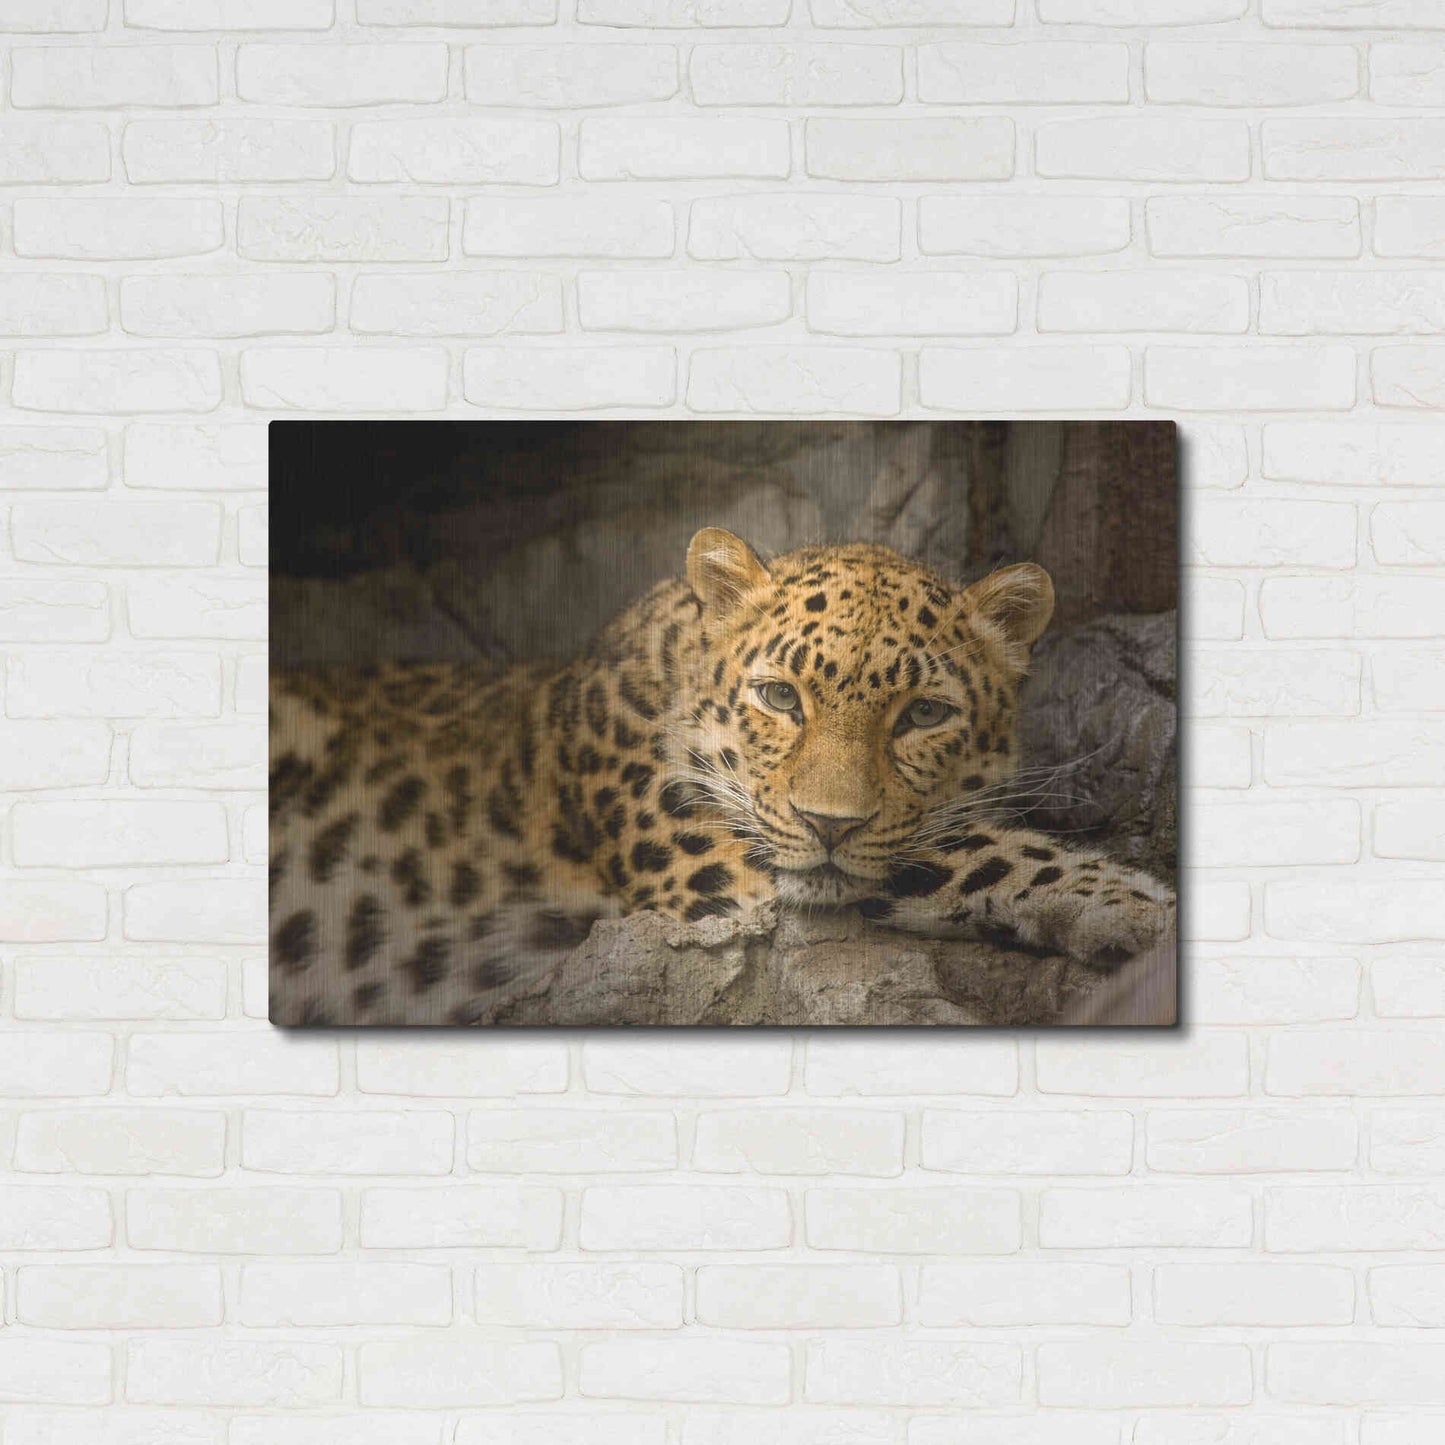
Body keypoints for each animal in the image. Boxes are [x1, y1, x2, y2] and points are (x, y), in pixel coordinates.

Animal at [269, 527, 1174, 1024]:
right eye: (779, 696)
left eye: (922, 714)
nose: (829, 823)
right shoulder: (722, 868)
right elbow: (975, 850)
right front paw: (1136, 906)